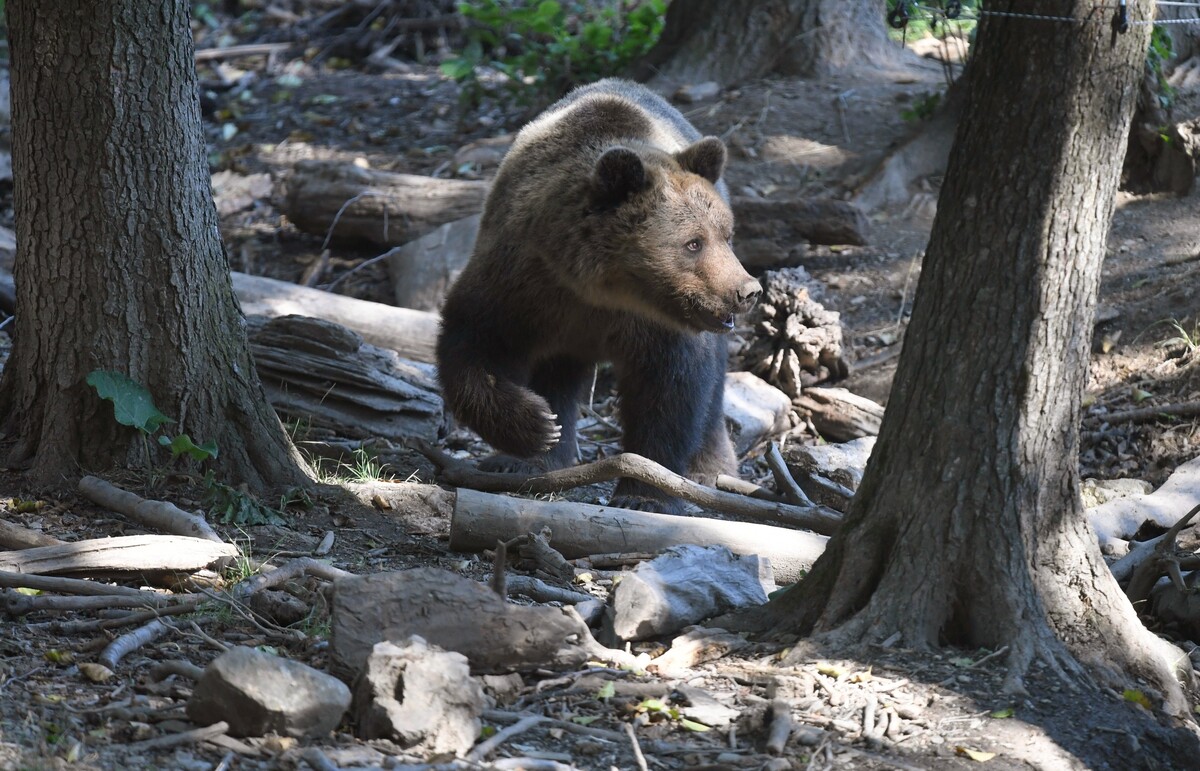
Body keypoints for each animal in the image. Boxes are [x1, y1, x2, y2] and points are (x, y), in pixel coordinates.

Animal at [439, 78, 758, 509]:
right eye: (693, 243)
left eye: (726, 233)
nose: (747, 290)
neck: (599, 287)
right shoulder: (520, 284)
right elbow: (472, 344)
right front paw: (537, 426)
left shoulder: (659, 327)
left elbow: (671, 392)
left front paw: (644, 492)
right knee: (556, 372)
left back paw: (711, 468)